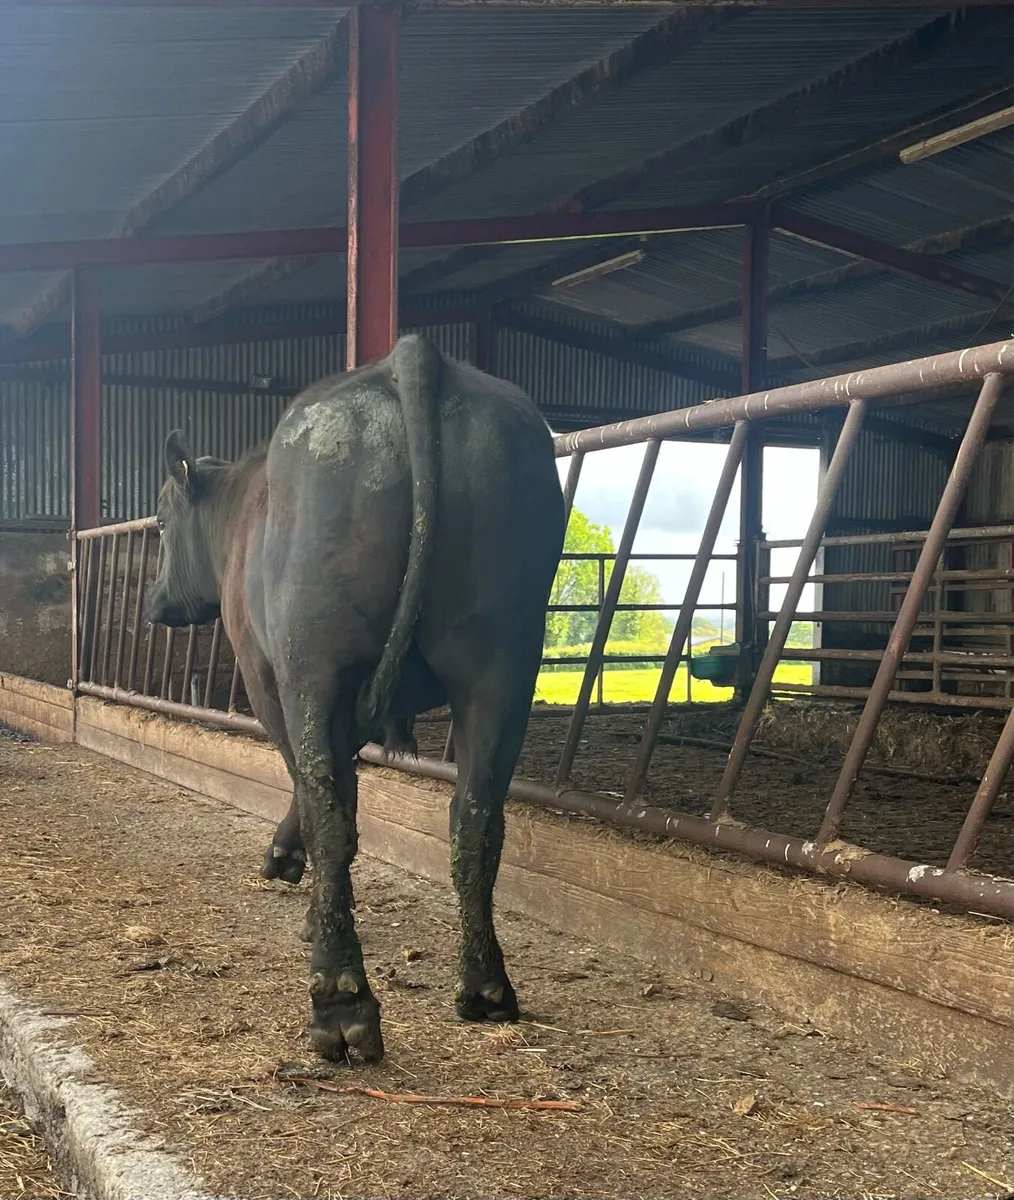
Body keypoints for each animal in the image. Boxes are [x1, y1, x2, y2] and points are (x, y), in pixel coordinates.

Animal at [146, 334, 565, 1063]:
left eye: (165, 523)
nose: (154, 603)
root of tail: (413, 356)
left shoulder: (265, 673)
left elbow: (305, 777)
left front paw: (294, 877)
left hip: (314, 657)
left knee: (330, 810)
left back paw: (341, 1005)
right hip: (503, 663)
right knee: (476, 819)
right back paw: (485, 988)